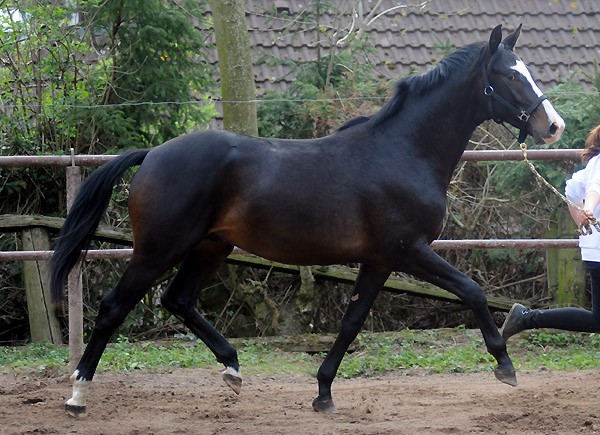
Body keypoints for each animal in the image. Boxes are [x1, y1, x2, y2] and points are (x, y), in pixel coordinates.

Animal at [50, 24, 564, 418]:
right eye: (508, 74)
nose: (554, 126)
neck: (403, 152)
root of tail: (153, 154)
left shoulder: (379, 261)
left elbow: (352, 323)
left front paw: (323, 393)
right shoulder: (409, 251)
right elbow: (472, 290)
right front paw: (504, 365)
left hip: (211, 246)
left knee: (178, 300)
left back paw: (232, 368)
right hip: (158, 249)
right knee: (114, 308)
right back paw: (77, 396)